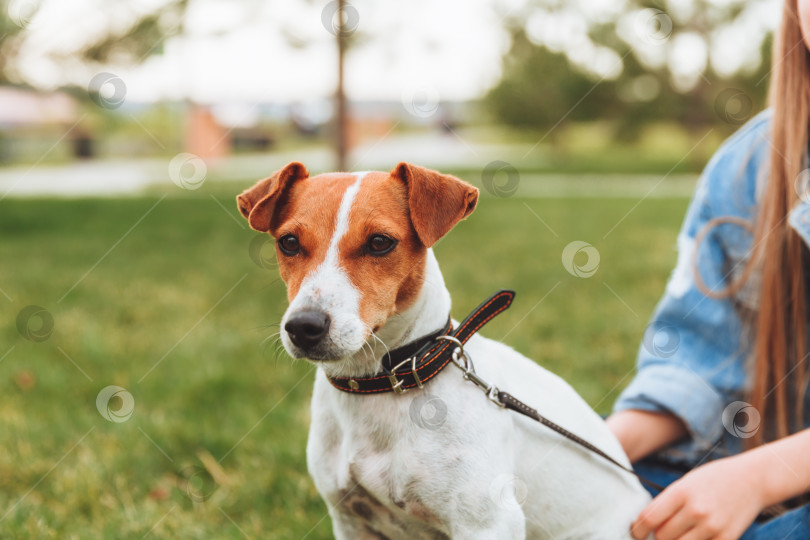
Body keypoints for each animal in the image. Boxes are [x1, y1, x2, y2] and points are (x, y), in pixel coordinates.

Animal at [235, 161, 652, 540]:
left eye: (380, 242)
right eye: (288, 242)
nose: (304, 327)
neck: (390, 379)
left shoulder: (487, 524)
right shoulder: (352, 521)